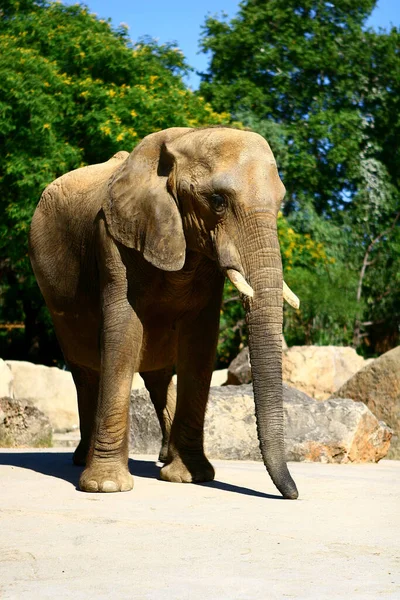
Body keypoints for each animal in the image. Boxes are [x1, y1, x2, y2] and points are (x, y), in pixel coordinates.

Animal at [29, 125, 300, 496]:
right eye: (217, 201)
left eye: (281, 203)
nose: (294, 494)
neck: (184, 139)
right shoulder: (111, 236)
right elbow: (123, 336)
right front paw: (107, 486)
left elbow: (199, 345)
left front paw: (191, 477)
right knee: (86, 372)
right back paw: (82, 459)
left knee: (157, 376)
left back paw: (162, 458)